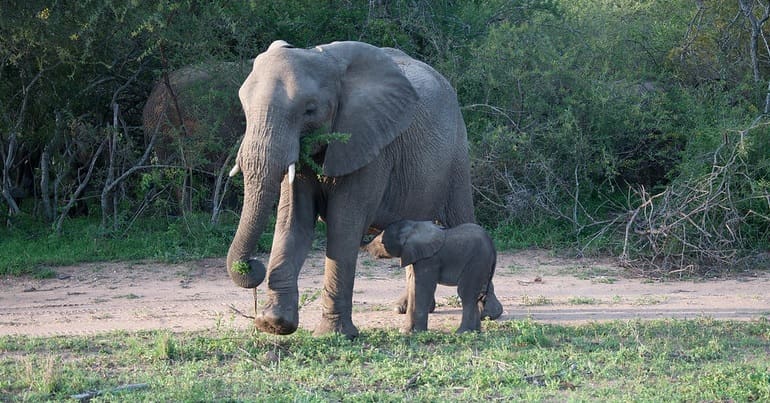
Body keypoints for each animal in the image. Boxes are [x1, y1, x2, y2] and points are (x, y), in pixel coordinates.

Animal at [226, 40, 502, 338]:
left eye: (309, 110)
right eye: (244, 106)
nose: (252, 265)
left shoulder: (370, 143)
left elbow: (343, 225)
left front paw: (334, 334)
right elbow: (293, 222)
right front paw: (274, 324)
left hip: (457, 153)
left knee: (460, 215)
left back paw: (489, 312)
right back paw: (405, 308)